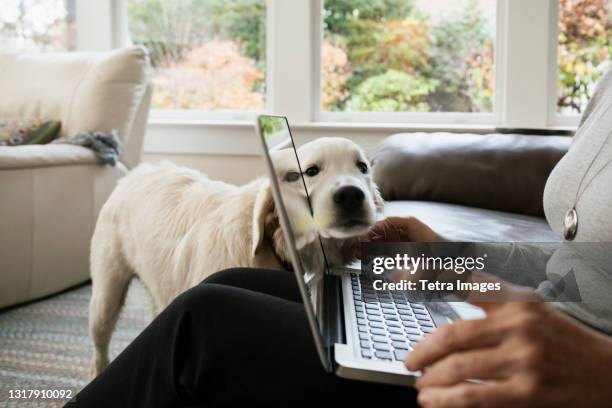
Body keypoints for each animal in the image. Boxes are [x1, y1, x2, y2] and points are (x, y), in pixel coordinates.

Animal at [89, 136, 382, 376]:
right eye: (310, 172)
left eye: (362, 167)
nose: (351, 195)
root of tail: (136, 172)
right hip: (106, 295)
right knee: (99, 347)